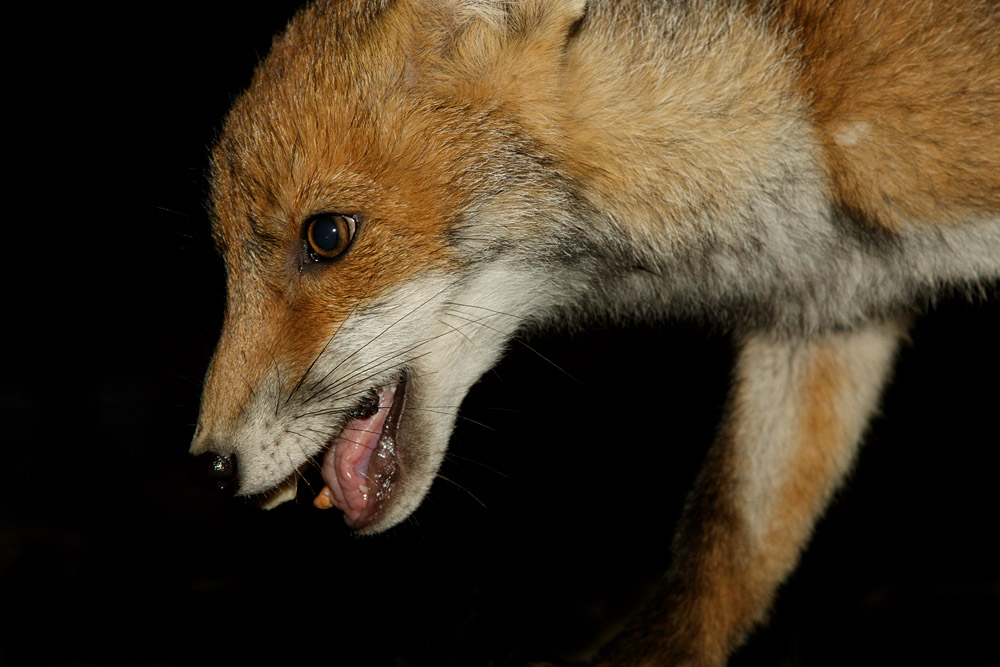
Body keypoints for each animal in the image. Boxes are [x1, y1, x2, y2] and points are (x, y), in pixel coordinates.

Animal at [190, 0, 1000, 664]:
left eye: (327, 235)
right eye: (224, 257)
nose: (213, 467)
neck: (799, 87)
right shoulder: (828, 317)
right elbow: (720, 557)